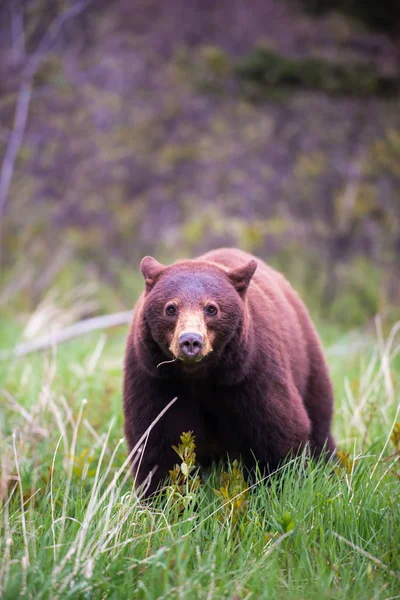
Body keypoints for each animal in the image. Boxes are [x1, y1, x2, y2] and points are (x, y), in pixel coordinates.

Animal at [123, 246, 336, 494]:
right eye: (171, 308)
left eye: (212, 308)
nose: (191, 341)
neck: (199, 375)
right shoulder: (155, 378)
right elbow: (159, 441)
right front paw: (163, 495)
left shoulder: (252, 373)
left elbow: (277, 432)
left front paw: (277, 487)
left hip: (308, 362)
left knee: (320, 421)